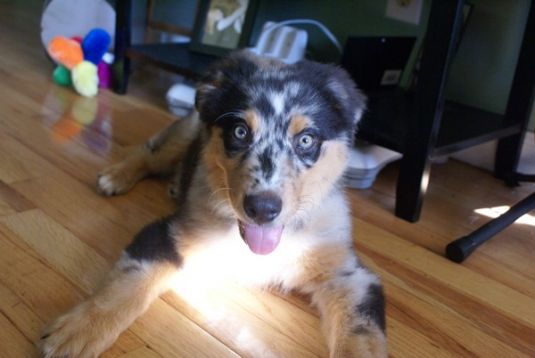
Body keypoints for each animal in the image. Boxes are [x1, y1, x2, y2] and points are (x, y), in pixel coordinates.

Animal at [40, 51, 386, 358]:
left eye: (306, 140)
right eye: (239, 132)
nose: (262, 210)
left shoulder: (349, 274)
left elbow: (362, 335)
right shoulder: (168, 234)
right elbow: (126, 285)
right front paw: (77, 332)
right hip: (185, 133)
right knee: (149, 152)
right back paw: (116, 176)